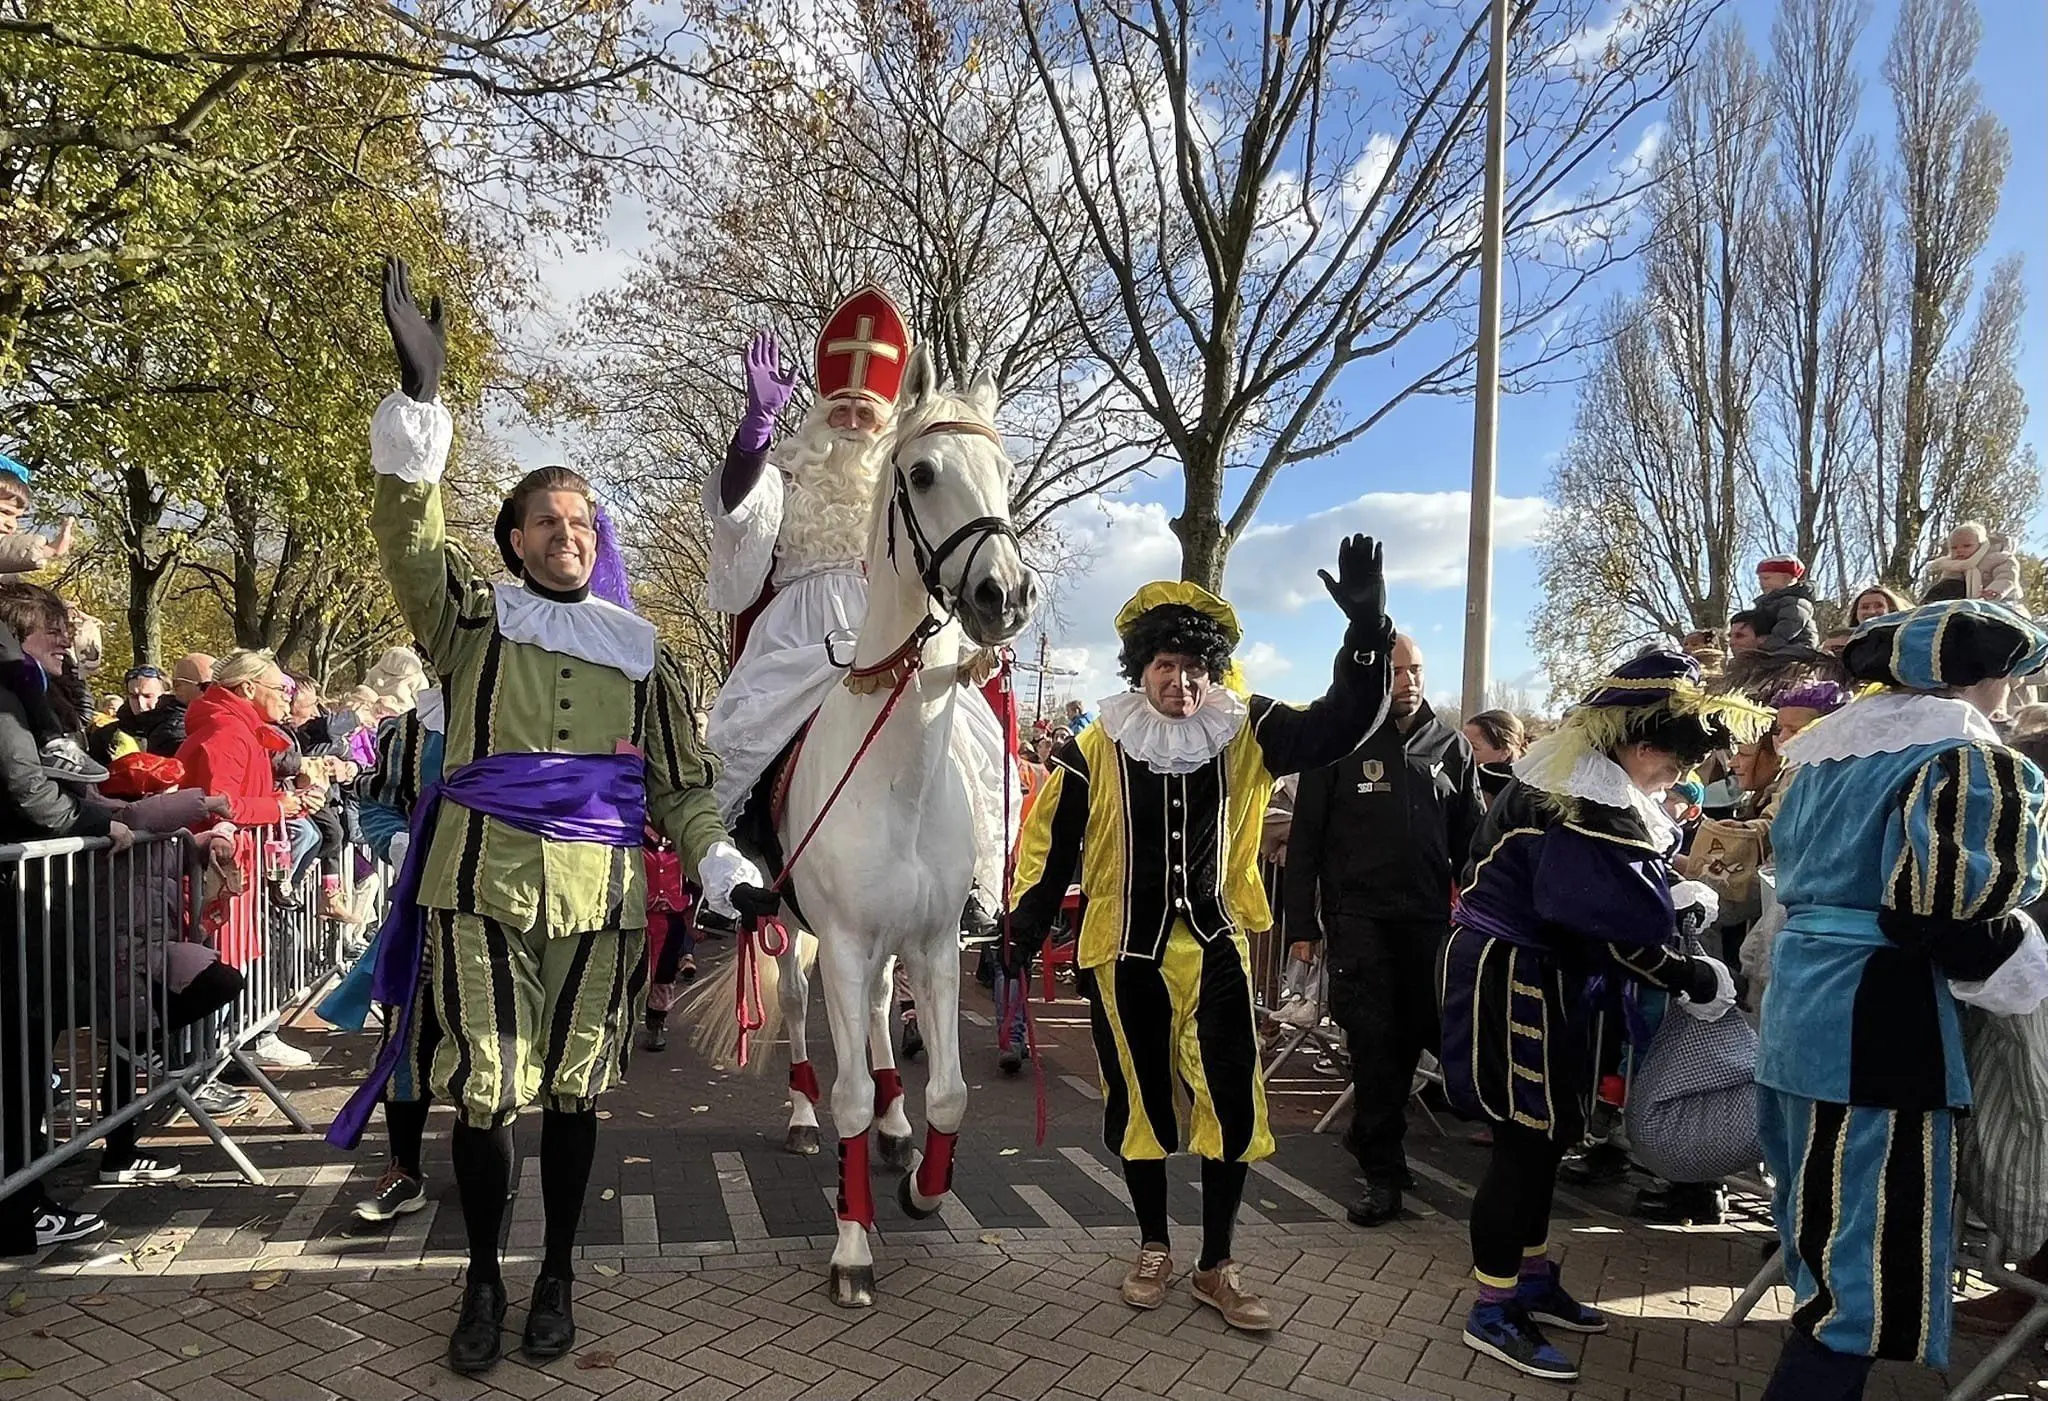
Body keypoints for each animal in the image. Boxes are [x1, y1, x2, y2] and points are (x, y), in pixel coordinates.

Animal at [704, 348, 1040, 1302]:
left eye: (1004, 470)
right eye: (921, 473)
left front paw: (925, 1181)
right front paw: (852, 1247)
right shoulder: (846, 943)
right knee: (795, 1006)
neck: (900, 773)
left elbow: (950, 1091)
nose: (1006, 595)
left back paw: (895, 1130)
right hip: (791, 927)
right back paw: (802, 1114)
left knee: (888, 1021)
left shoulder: (933, 943)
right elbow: (848, 1087)